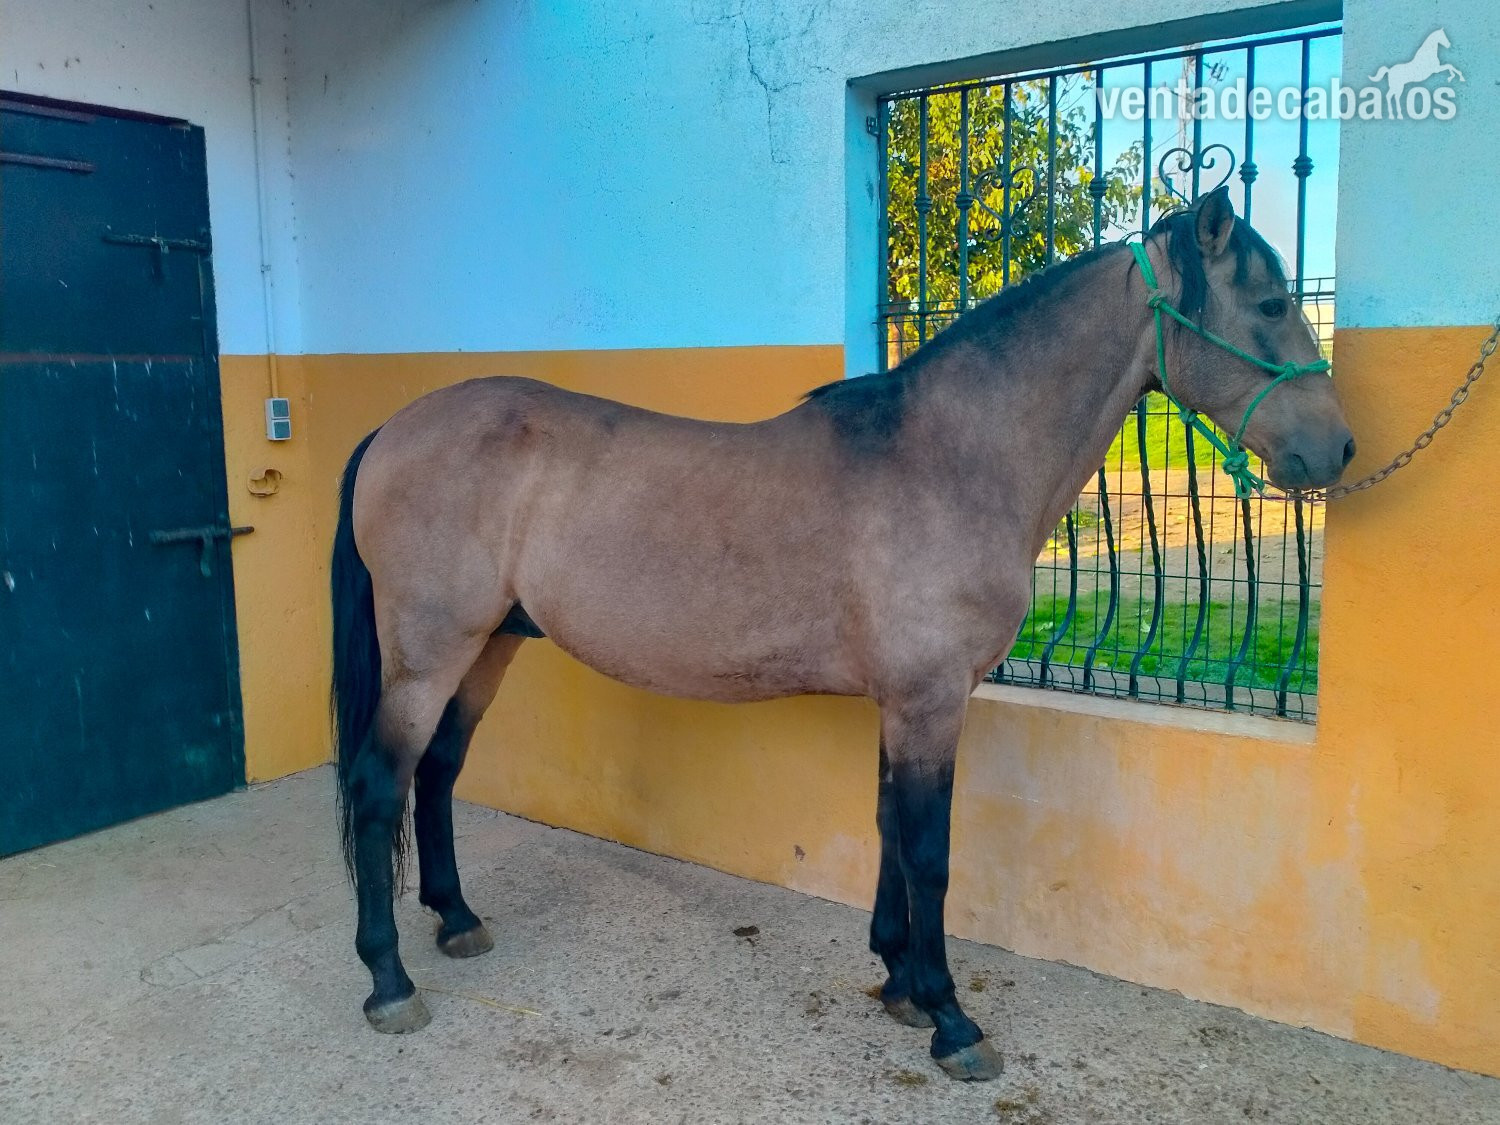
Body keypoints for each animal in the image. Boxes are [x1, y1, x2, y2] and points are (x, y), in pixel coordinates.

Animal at [328, 186, 1354, 1082]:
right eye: (1269, 303)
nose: (1337, 449)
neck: (950, 460)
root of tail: (392, 429)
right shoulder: (930, 701)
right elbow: (930, 851)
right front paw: (951, 1018)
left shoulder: (907, 702)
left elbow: (891, 828)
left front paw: (898, 979)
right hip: (430, 654)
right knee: (380, 785)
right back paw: (388, 980)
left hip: (489, 644)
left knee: (437, 771)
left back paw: (456, 919)